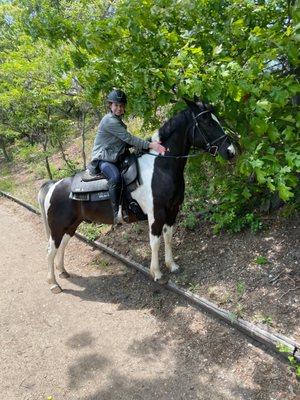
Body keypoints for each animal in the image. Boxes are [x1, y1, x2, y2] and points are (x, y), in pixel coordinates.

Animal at [38, 99, 237, 294]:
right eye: (207, 122)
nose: (231, 151)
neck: (161, 167)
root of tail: (53, 185)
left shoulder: (172, 211)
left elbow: (168, 236)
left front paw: (171, 265)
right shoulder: (156, 214)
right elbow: (155, 242)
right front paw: (157, 273)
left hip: (71, 224)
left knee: (62, 245)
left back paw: (63, 271)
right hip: (58, 226)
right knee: (50, 250)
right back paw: (53, 283)